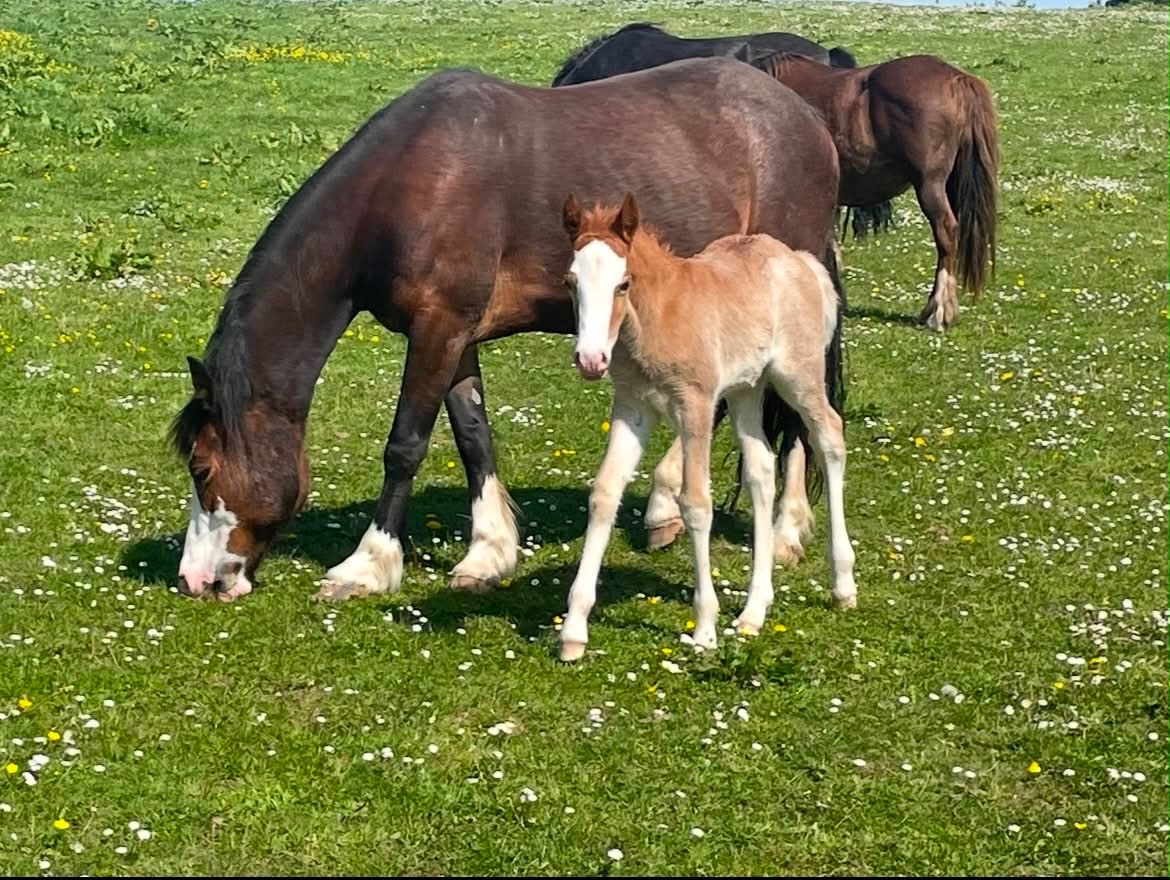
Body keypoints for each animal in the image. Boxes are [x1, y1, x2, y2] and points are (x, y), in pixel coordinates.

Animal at [169, 57, 845, 604]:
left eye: (202, 469)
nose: (194, 580)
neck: (409, 185)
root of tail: (806, 116)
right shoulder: (456, 334)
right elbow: (473, 436)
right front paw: (488, 552)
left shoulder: (437, 330)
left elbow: (405, 445)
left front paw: (368, 564)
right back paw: (663, 506)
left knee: (796, 413)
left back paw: (786, 529)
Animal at [557, 194, 856, 661]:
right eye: (571, 281)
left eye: (623, 284)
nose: (591, 359)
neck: (657, 315)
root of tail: (803, 262)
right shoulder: (632, 407)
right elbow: (605, 493)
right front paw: (573, 631)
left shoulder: (695, 406)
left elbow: (696, 503)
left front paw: (704, 628)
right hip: (747, 389)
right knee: (760, 470)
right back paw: (754, 611)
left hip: (798, 376)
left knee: (830, 437)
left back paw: (843, 585)